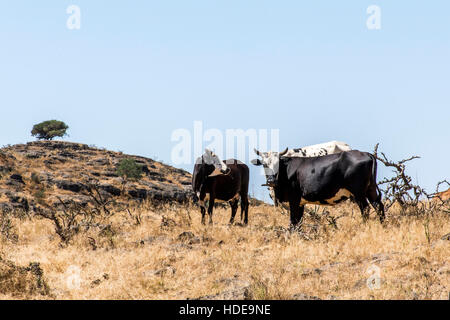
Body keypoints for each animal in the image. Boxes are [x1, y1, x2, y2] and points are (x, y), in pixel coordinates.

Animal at [251, 149, 384, 226]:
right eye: (264, 164)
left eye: (277, 164)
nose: (271, 180)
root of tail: (366, 153)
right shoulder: (301, 203)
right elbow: (298, 222)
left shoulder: (294, 200)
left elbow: (293, 221)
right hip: (370, 189)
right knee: (378, 205)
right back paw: (383, 225)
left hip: (358, 192)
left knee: (365, 208)